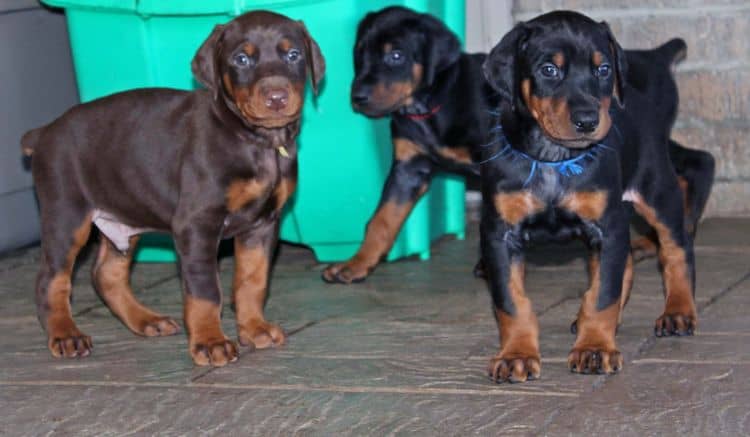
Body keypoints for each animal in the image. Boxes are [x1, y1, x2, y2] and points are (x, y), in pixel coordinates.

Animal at [21, 9, 324, 364]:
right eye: (241, 59)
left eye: (294, 55)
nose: (276, 98)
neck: (254, 141)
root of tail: (45, 132)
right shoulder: (196, 224)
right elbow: (205, 291)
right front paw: (210, 342)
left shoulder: (262, 224)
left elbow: (252, 280)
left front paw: (254, 329)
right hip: (66, 216)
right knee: (51, 280)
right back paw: (66, 334)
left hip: (123, 216)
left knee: (106, 275)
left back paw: (146, 320)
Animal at [478, 11, 712, 382]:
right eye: (549, 69)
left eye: (603, 70)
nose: (588, 120)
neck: (553, 158)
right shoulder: (499, 234)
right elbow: (511, 302)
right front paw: (516, 354)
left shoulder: (607, 226)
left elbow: (602, 295)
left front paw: (594, 349)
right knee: (624, 263)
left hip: (658, 190)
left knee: (676, 250)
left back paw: (678, 311)